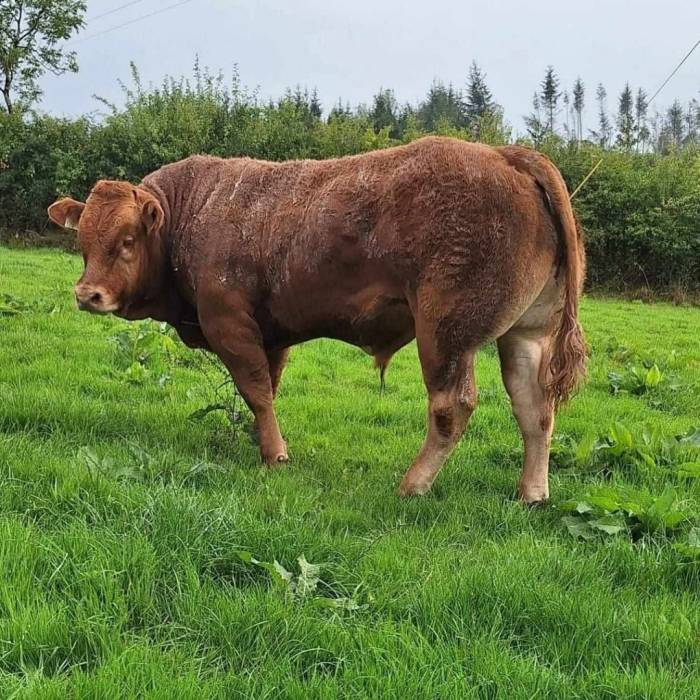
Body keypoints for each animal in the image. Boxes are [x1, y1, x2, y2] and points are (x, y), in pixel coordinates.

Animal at [48, 136, 586, 503]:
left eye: (127, 240)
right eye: (83, 241)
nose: (87, 294)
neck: (193, 212)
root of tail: (506, 154)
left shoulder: (229, 323)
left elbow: (256, 391)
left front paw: (275, 455)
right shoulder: (271, 335)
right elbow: (269, 388)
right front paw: (262, 441)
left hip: (445, 335)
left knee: (452, 408)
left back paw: (413, 484)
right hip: (525, 335)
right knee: (535, 409)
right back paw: (532, 492)